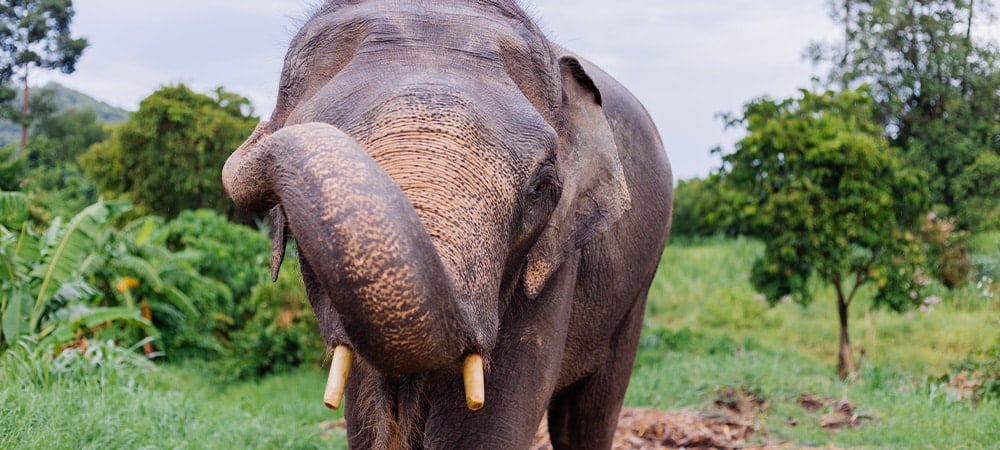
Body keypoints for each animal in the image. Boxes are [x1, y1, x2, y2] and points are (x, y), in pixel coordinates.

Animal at [220, 1, 672, 448]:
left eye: (541, 188)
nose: (258, 135)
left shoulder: (552, 269)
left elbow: (483, 428)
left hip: (636, 290)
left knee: (591, 411)